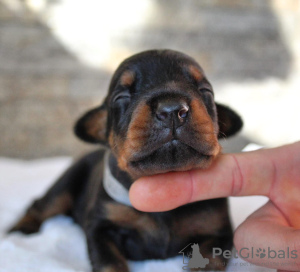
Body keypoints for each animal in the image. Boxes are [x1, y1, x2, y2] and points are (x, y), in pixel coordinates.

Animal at [9, 50, 243, 270]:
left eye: (205, 91)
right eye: (121, 96)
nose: (172, 109)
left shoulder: (216, 231)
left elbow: (209, 262)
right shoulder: (101, 228)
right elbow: (110, 263)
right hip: (67, 183)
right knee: (41, 205)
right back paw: (19, 230)